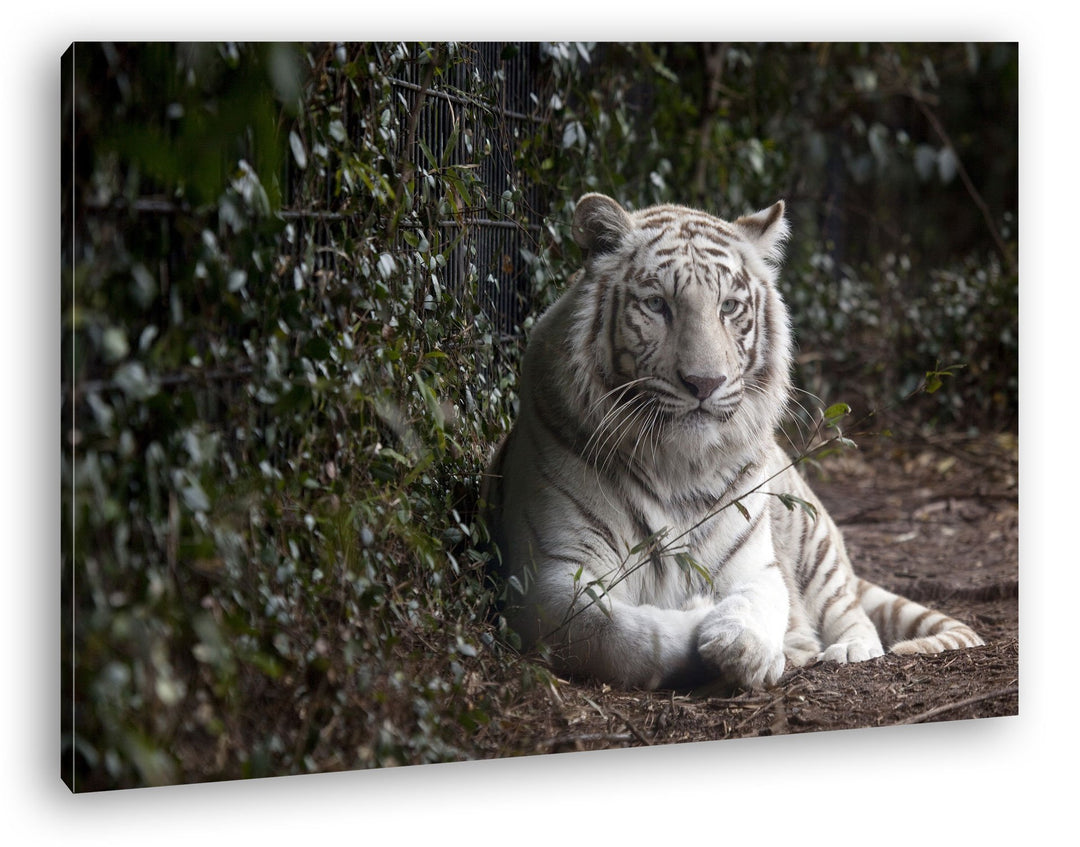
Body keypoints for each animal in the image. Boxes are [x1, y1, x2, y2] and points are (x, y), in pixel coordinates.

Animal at [482, 192, 984, 692]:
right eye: (657, 304)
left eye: (728, 306)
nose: (704, 383)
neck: (673, 466)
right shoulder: (549, 577)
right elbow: (618, 632)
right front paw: (700, 617)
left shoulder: (756, 567)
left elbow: (756, 605)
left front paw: (745, 647)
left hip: (812, 538)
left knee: (852, 612)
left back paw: (844, 650)